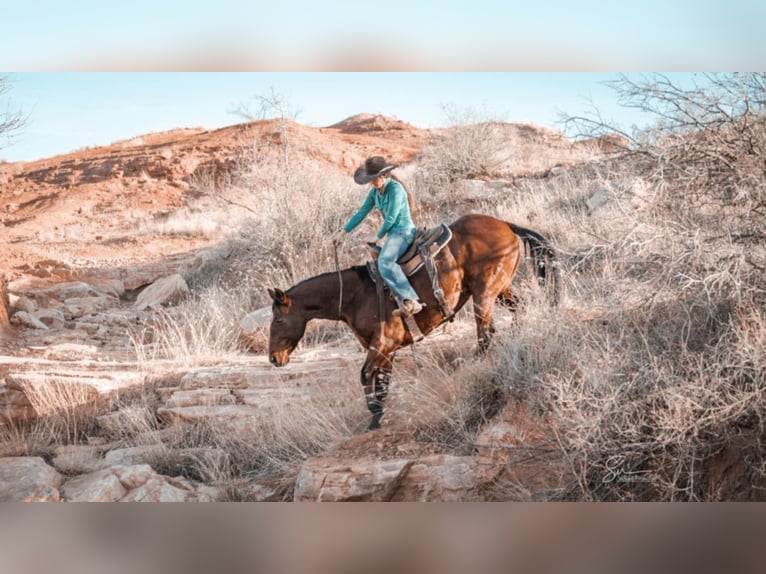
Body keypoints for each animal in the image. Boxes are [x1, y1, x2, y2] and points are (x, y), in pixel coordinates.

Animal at [268, 214, 560, 430]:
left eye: (278, 321)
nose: (273, 358)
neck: (354, 295)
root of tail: (505, 224)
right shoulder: (387, 350)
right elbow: (382, 380)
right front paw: (377, 418)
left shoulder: (383, 344)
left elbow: (365, 375)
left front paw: (374, 411)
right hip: (501, 289)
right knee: (519, 309)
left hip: (484, 292)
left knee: (485, 331)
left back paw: (472, 363)